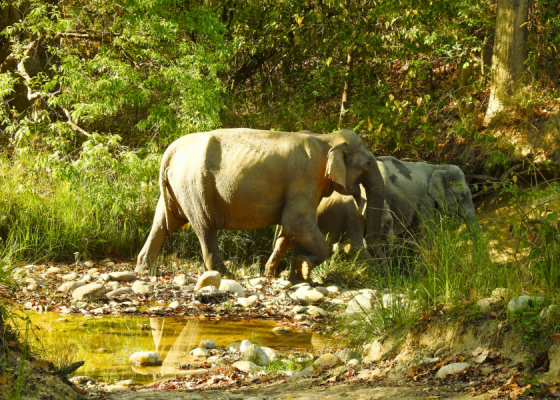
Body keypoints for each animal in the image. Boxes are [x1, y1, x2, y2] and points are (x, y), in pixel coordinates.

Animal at [264, 188, 394, 278]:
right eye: (388, 222)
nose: (388, 275)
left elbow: (340, 247)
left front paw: (332, 269)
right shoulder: (354, 215)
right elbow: (352, 246)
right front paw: (378, 275)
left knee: (282, 243)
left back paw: (270, 274)